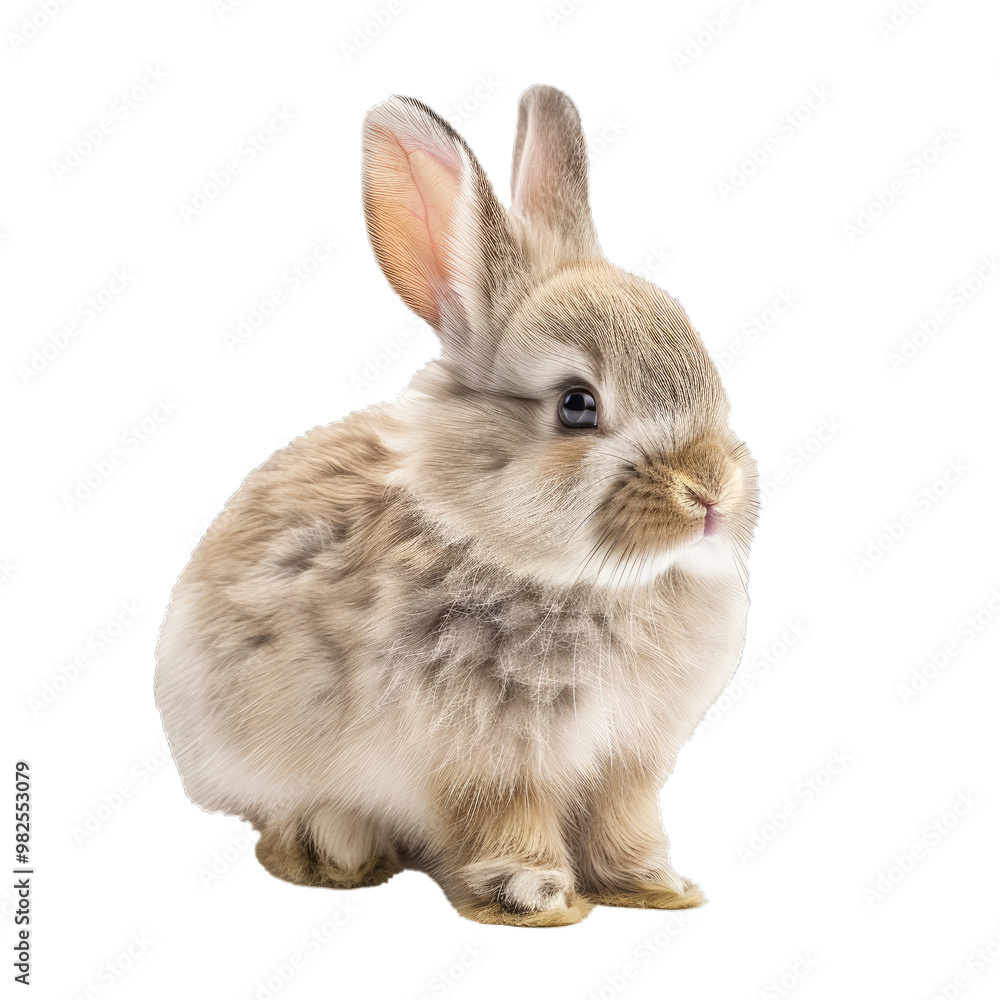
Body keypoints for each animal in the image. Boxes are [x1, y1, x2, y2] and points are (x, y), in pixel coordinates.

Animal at [154, 84, 758, 927]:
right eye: (577, 405)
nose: (711, 492)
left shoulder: (625, 762)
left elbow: (623, 820)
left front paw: (656, 888)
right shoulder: (486, 759)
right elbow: (505, 820)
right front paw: (535, 897)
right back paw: (333, 847)